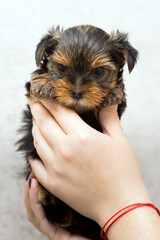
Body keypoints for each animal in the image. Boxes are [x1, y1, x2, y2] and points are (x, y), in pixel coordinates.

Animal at [16, 25, 138, 239]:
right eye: (62, 68)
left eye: (99, 71)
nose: (77, 92)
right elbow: (32, 85)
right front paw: (43, 82)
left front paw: (114, 92)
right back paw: (47, 195)